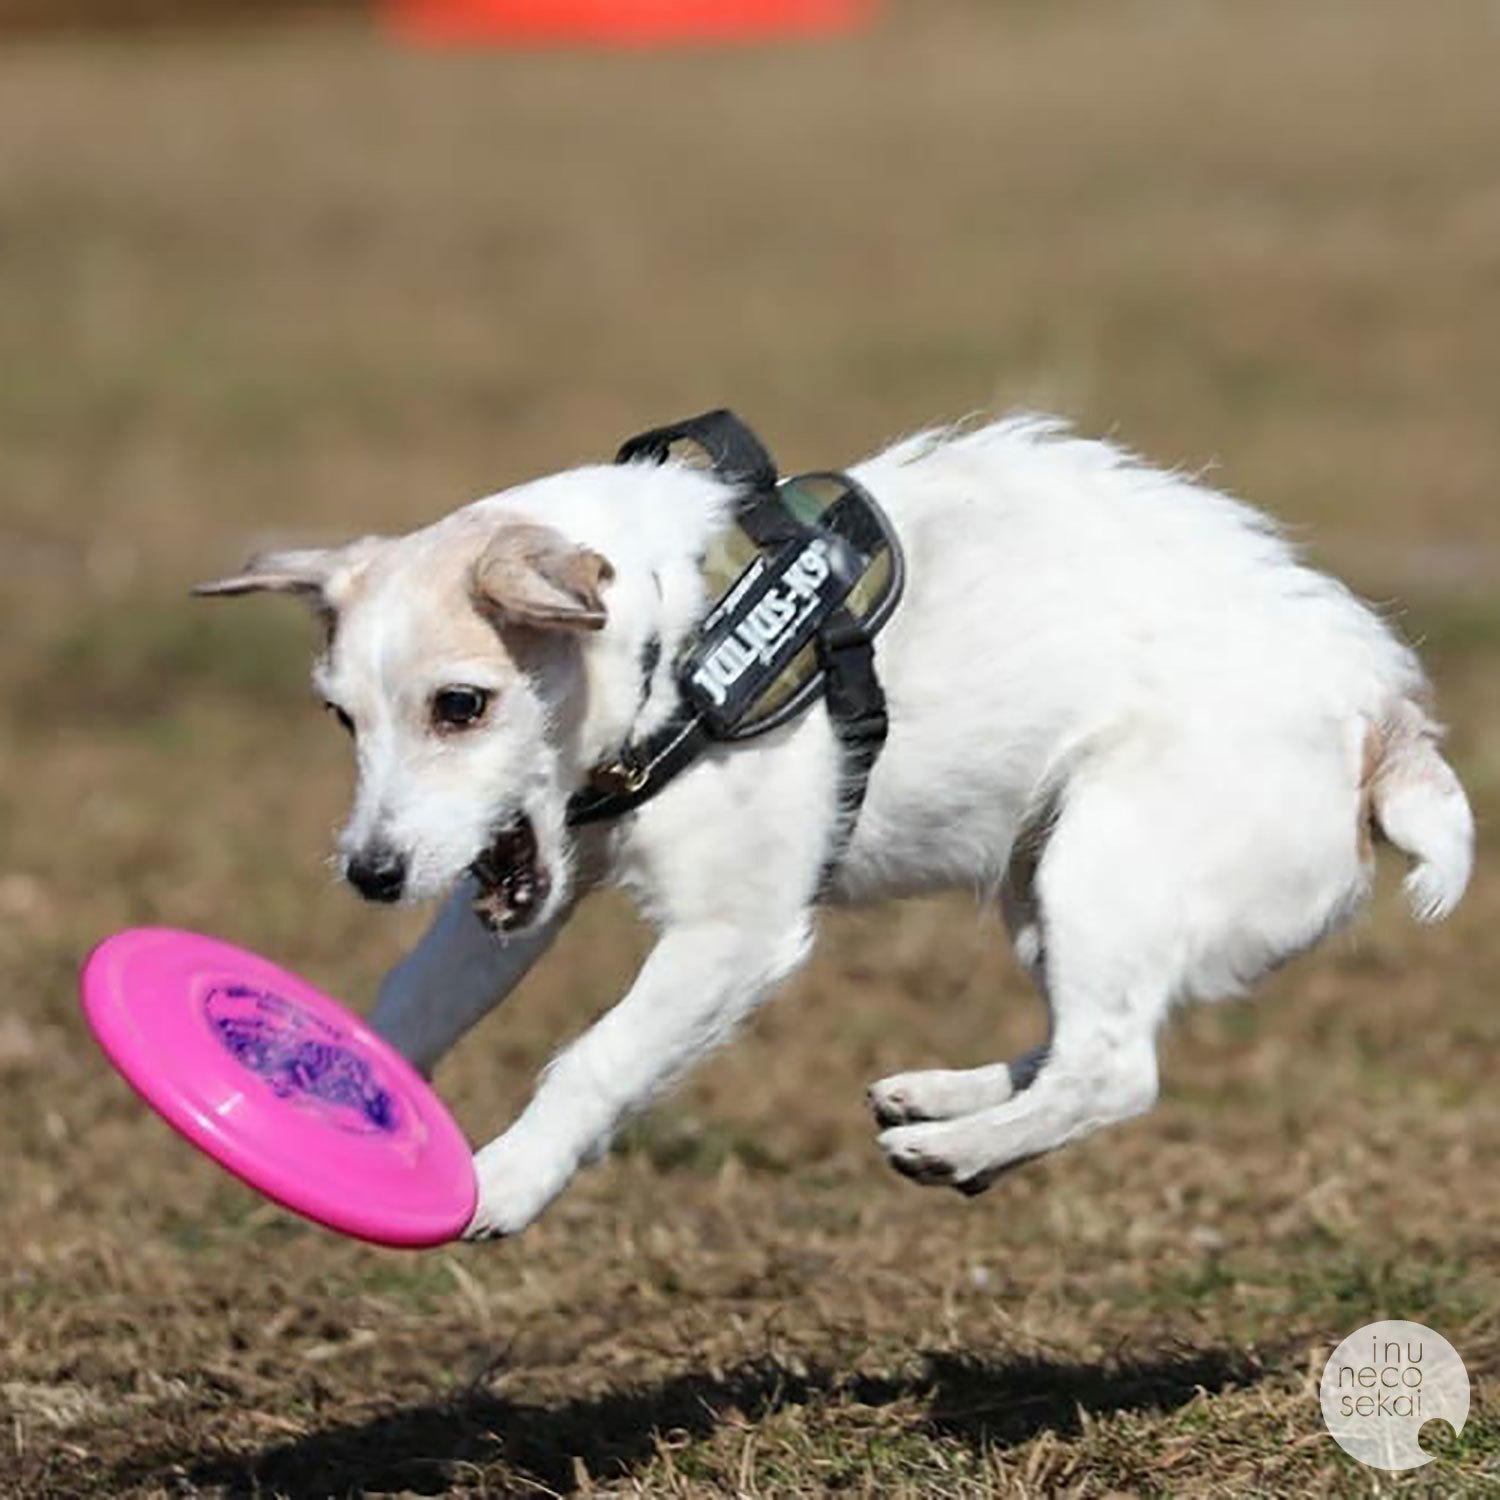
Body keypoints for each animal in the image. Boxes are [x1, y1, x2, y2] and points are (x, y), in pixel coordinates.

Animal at [199, 417, 1476, 1236]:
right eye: (339, 716)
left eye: (461, 705)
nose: (369, 874)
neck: (677, 635)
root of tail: (1385, 725)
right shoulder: (517, 891)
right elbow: (408, 1007)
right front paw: (315, 1086)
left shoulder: (731, 935)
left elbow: (594, 1060)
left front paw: (507, 1179)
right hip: (1047, 886)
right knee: (1085, 1039)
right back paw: (952, 1101)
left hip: (1103, 866)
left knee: (1118, 1070)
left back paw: (956, 1146)